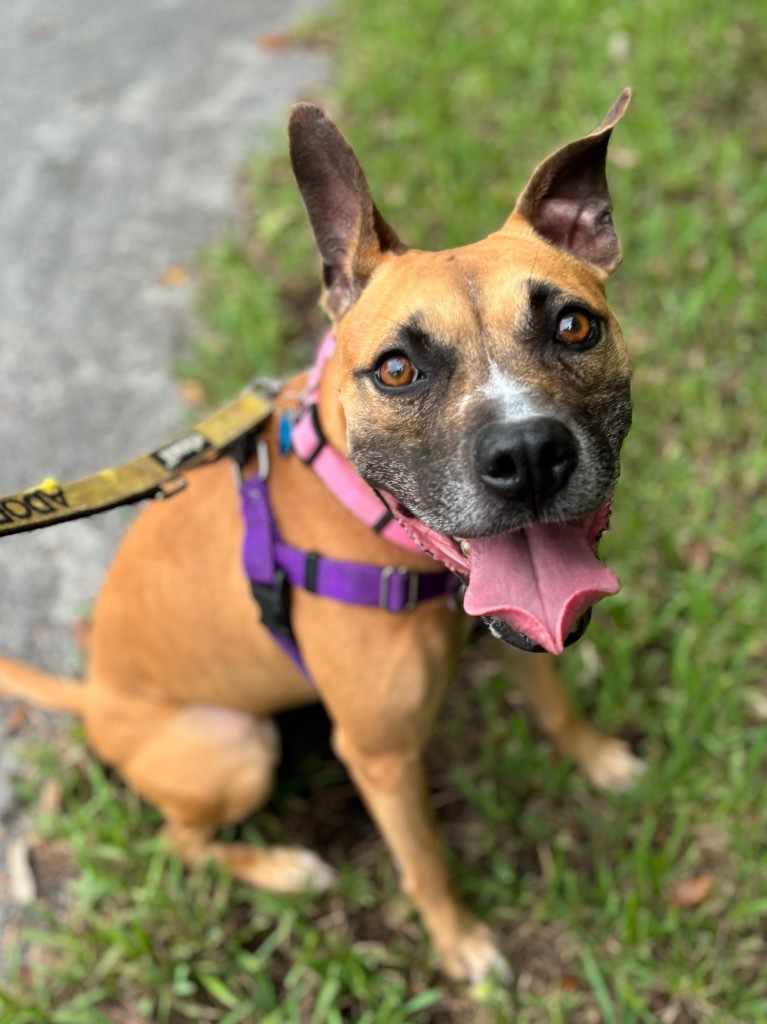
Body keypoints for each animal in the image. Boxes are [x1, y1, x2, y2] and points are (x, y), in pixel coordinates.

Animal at [0, 90, 638, 983]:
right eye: (397, 369)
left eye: (574, 327)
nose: (526, 456)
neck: (361, 512)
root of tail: (93, 696)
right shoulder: (379, 756)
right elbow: (424, 864)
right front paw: (463, 945)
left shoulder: (516, 636)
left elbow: (553, 706)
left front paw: (599, 758)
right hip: (234, 748)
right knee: (182, 840)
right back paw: (285, 869)